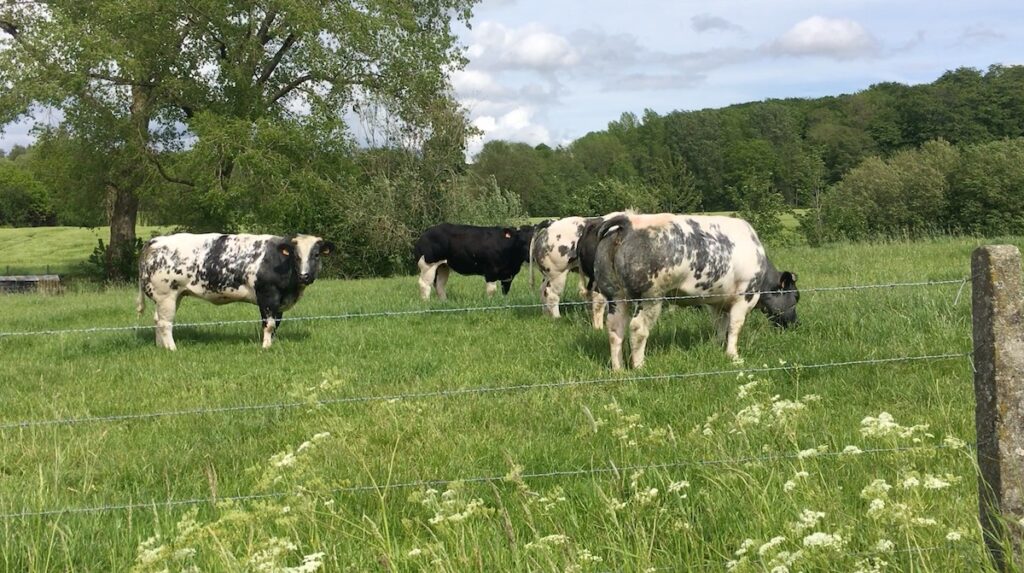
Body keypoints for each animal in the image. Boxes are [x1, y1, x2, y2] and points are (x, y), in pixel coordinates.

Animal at [136, 233, 334, 350]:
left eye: (316, 255)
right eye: (296, 255)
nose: (304, 276)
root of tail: (155, 241)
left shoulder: (279, 303)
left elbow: (276, 325)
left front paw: (272, 343)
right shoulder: (268, 297)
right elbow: (269, 324)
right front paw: (266, 346)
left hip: (172, 296)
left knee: (158, 320)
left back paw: (160, 346)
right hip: (166, 295)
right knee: (165, 323)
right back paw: (172, 348)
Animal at [593, 213, 799, 369]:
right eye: (796, 297)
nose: (795, 324)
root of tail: (629, 220)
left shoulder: (717, 302)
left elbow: (720, 326)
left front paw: (717, 347)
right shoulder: (745, 296)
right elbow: (735, 326)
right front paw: (733, 355)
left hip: (615, 296)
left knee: (615, 329)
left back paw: (618, 369)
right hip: (650, 296)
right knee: (638, 328)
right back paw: (639, 366)